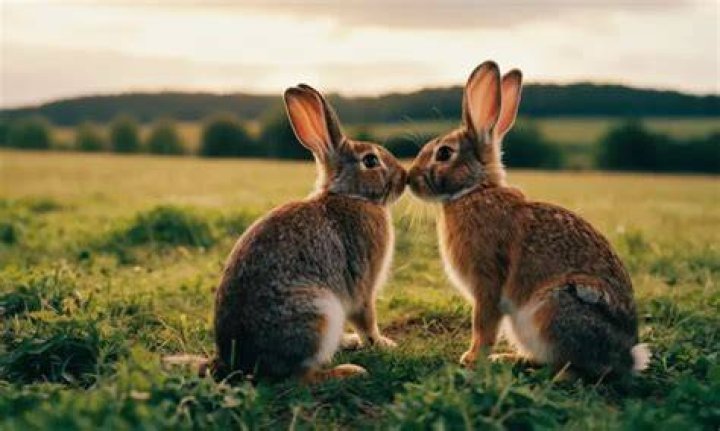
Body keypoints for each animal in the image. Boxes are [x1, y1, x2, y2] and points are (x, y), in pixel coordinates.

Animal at [211, 84, 406, 383]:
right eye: (371, 160)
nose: (405, 177)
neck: (349, 194)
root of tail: (244, 363)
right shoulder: (363, 284)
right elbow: (366, 318)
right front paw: (384, 344)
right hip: (319, 314)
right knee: (301, 377)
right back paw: (350, 371)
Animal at [407, 61, 650, 378]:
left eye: (444, 153)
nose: (410, 179)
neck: (474, 190)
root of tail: (626, 356)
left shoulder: (487, 284)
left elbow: (483, 324)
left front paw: (471, 359)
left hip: (553, 309)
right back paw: (510, 359)